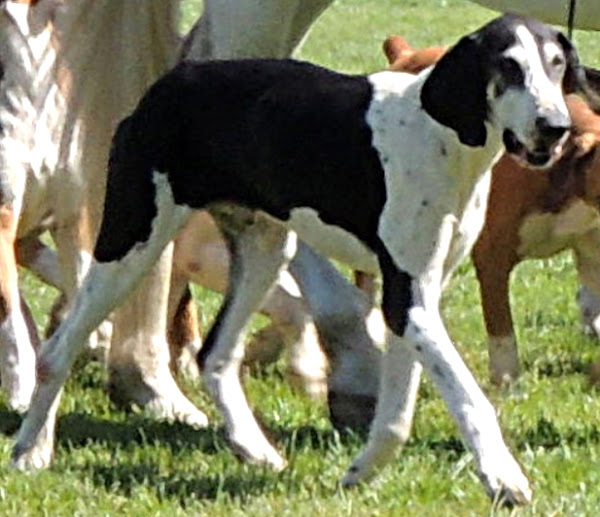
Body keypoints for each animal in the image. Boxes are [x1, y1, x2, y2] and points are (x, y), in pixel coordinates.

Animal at [11, 13, 592, 504]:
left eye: (556, 64)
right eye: (507, 66)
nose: (554, 127)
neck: (440, 138)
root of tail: (170, 82)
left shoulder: (416, 301)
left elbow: (397, 415)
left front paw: (361, 471)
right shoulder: (407, 299)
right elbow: (471, 398)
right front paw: (503, 476)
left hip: (264, 251)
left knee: (215, 356)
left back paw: (255, 449)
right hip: (132, 244)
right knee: (58, 350)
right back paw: (30, 450)